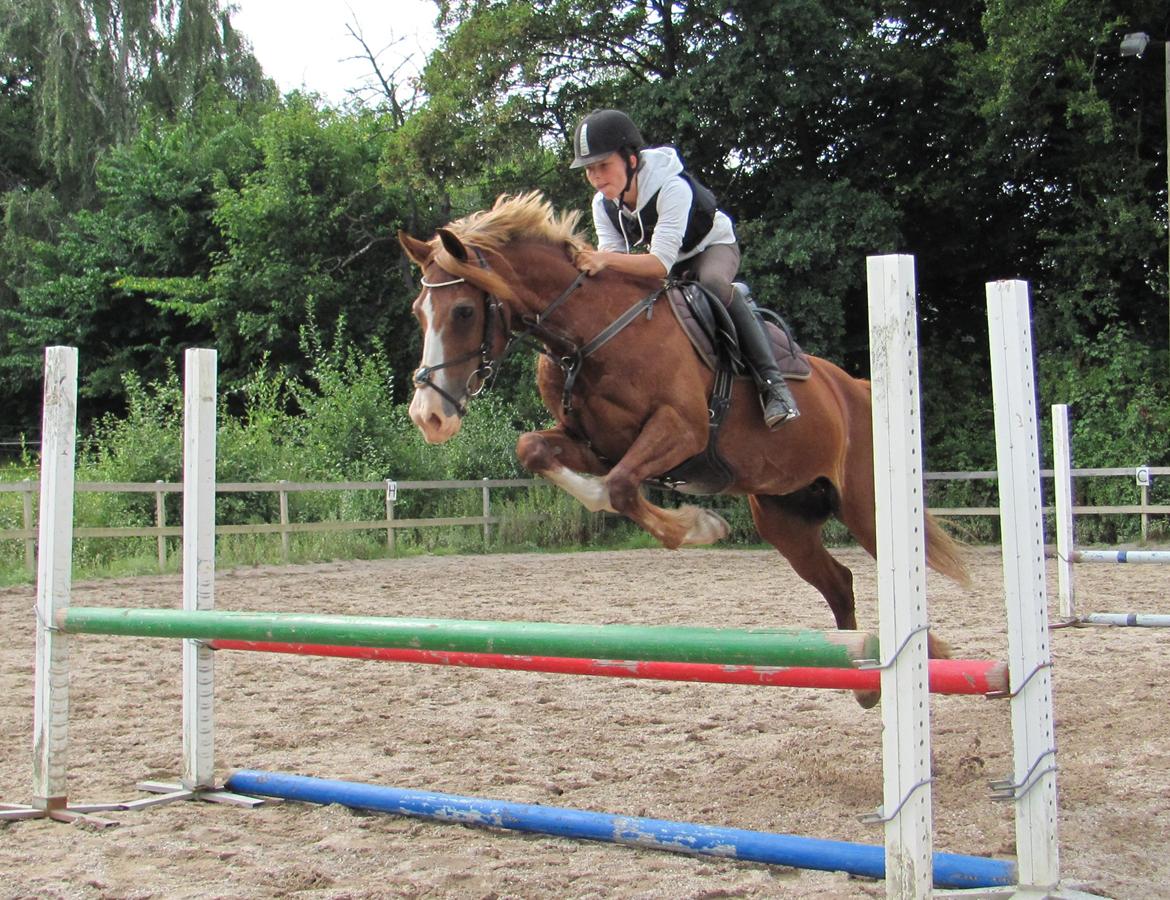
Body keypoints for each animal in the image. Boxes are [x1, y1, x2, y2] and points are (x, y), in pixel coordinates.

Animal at [397, 189, 964, 697]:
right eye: (418, 313)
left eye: (464, 311)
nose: (429, 417)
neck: (590, 333)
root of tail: (859, 390)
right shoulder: (594, 444)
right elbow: (543, 455)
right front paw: (691, 521)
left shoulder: (680, 431)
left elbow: (621, 487)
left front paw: (699, 526)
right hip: (784, 517)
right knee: (840, 581)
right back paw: (871, 681)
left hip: (867, 507)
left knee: (897, 573)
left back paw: (931, 659)